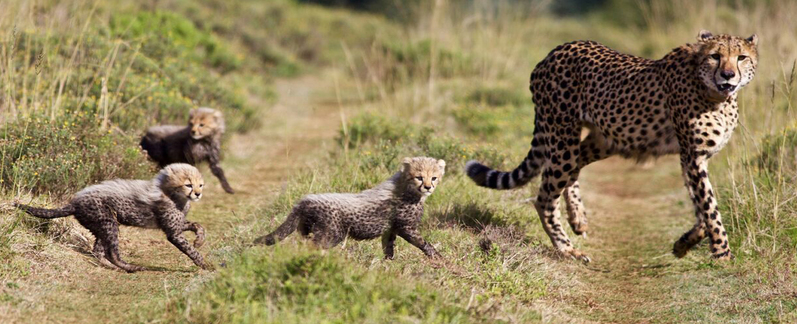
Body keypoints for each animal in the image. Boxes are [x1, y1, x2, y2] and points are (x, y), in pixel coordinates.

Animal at [466, 31, 760, 264]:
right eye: (715, 56)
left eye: (741, 57)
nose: (728, 75)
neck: (718, 95)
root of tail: (555, 51)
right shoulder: (692, 155)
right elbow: (710, 208)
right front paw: (722, 254)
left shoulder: (692, 157)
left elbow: (701, 208)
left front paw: (685, 243)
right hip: (563, 134)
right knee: (545, 197)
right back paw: (568, 250)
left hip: (606, 139)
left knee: (571, 169)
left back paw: (578, 218)